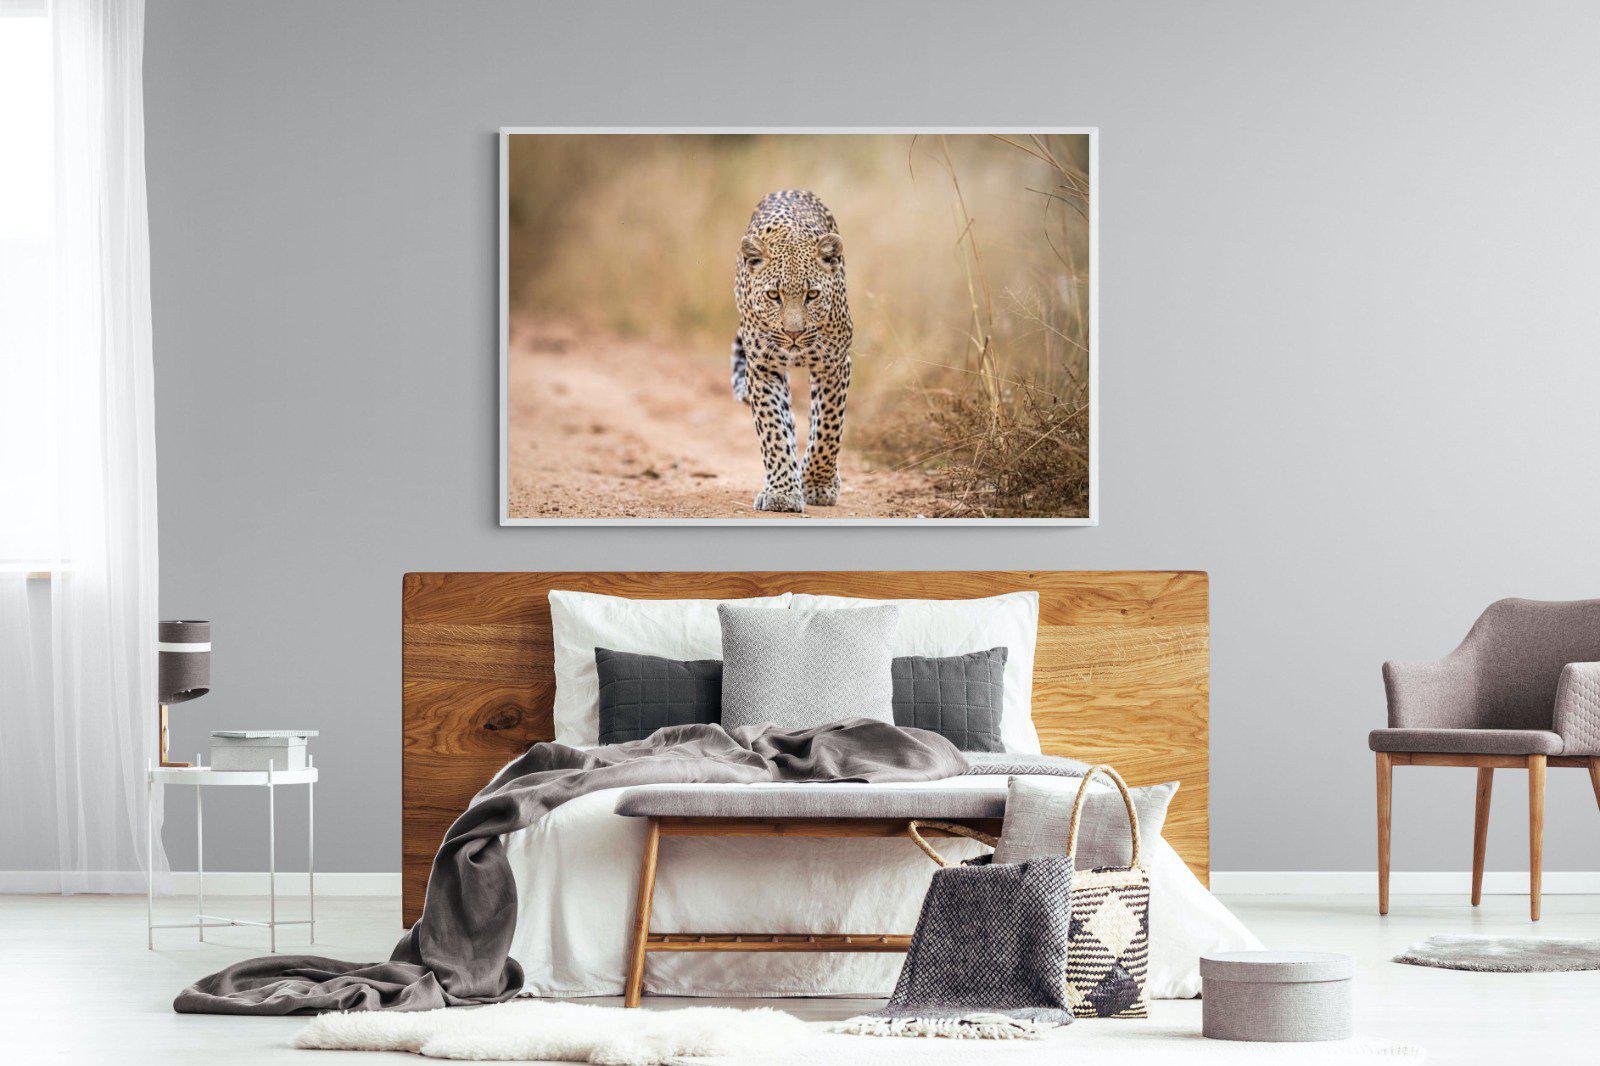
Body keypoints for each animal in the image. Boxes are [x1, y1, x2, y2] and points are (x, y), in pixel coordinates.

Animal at [730, 189, 853, 513]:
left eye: (813, 295)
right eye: (774, 295)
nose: (793, 333)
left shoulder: (834, 363)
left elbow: (827, 428)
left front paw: (818, 484)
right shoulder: (763, 368)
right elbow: (773, 429)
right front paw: (782, 493)